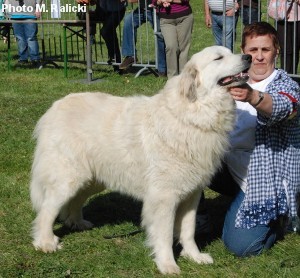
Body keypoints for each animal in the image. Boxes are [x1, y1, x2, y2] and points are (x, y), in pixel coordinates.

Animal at [29, 45, 251, 274]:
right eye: (218, 58)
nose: (248, 57)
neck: (194, 113)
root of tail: (54, 108)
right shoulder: (164, 197)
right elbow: (164, 234)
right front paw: (167, 264)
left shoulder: (192, 194)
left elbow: (188, 230)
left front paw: (194, 256)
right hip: (68, 178)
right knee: (46, 210)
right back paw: (45, 242)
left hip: (92, 178)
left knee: (75, 200)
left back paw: (77, 222)